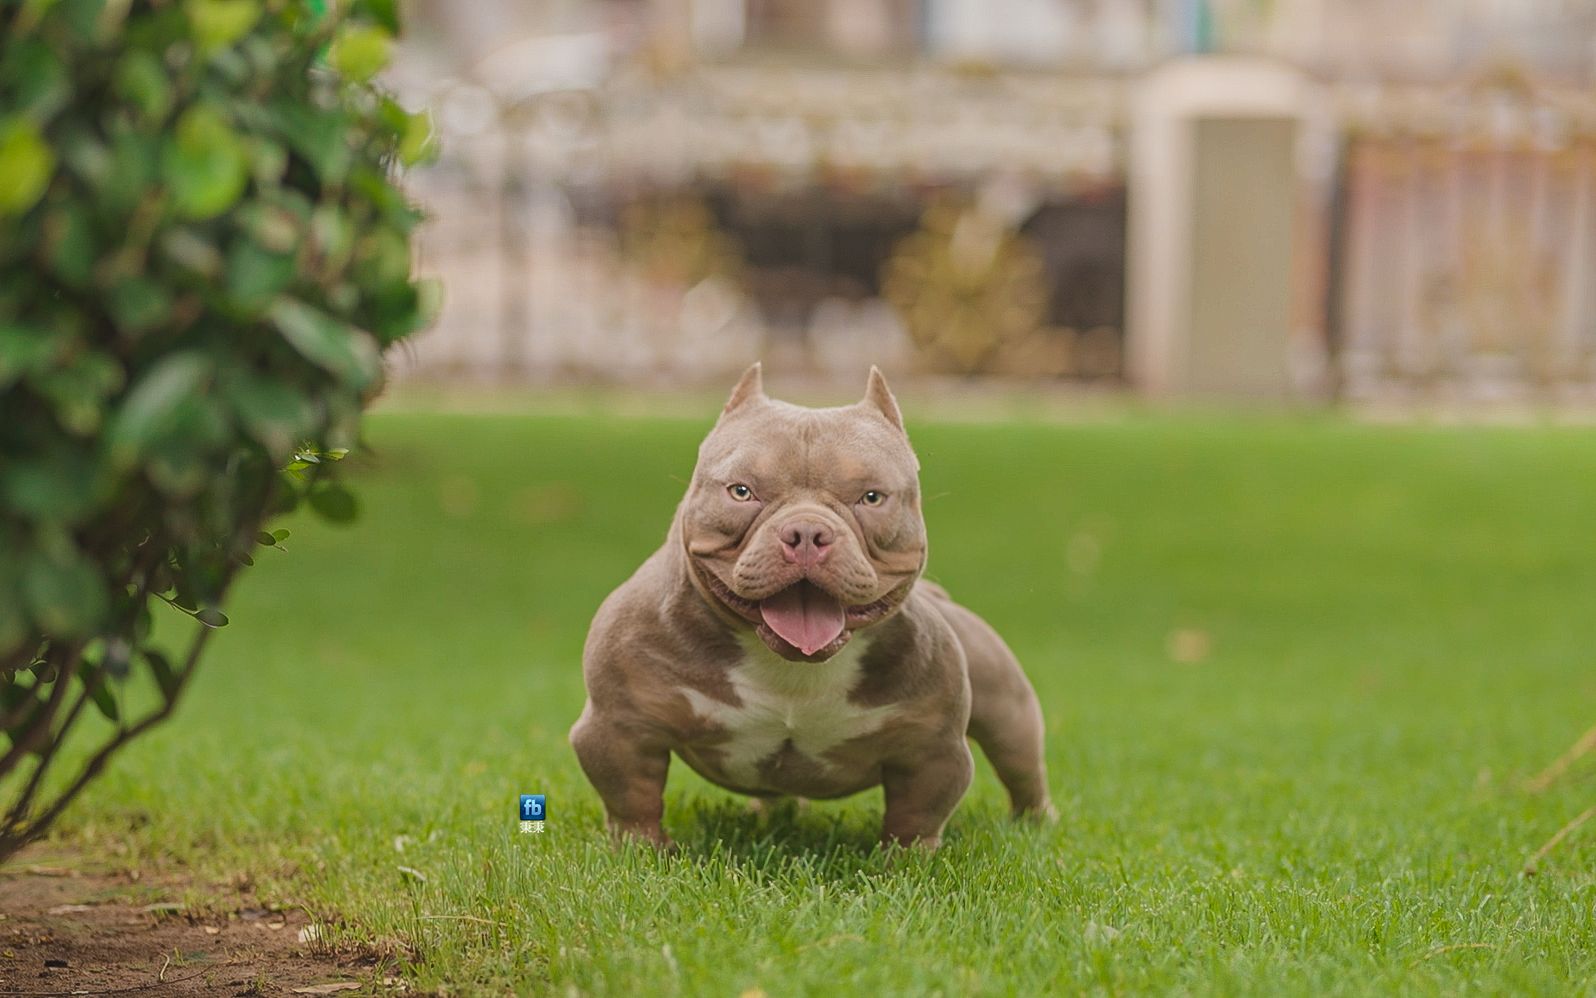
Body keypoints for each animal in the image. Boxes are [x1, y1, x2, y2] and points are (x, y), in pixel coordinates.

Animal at [568, 365, 1053, 849]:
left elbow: (916, 816)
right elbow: (633, 796)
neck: (791, 668)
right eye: (741, 492)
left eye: (872, 497)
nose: (805, 532)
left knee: (1022, 766)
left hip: (1009, 710)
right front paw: (641, 848)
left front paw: (907, 858)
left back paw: (1037, 822)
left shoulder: (931, 749)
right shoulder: (621, 726)